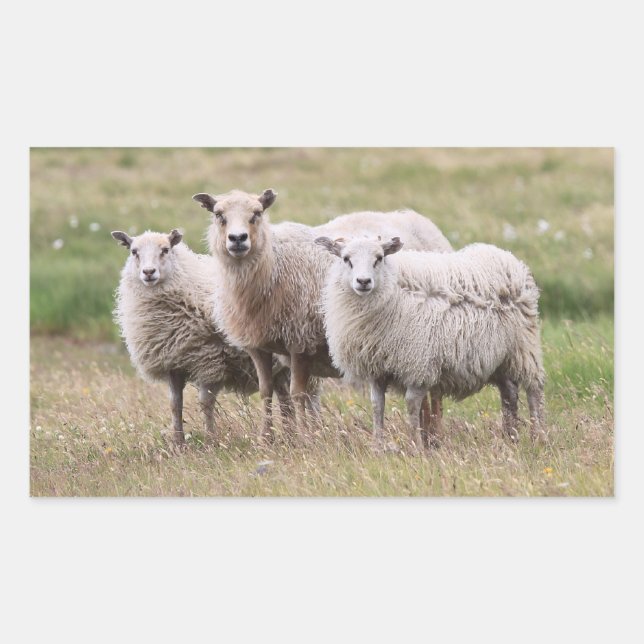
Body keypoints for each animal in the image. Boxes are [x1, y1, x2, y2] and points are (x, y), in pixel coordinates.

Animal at [111, 228, 292, 446]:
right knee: (285, 397)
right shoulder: (173, 363)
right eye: (134, 251)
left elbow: (206, 403)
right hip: (279, 366)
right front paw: (178, 443)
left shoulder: (209, 361)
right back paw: (292, 434)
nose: (148, 272)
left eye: (165, 249)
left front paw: (211, 441)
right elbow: (175, 404)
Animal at [192, 188, 453, 439]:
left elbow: (298, 393)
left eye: (257, 213)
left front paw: (304, 438)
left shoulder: (299, 340)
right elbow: (266, 391)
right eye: (218, 215)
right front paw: (265, 438)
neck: (273, 264)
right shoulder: (258, 345)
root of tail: (419, 220)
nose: (237, 239)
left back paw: (435, 434)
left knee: (435, 390)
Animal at [315, 236, 546, 450]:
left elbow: (411, 404)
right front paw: (378, 447)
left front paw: (416, 446)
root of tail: (507, 257)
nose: (363, 282)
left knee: (534, 389)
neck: (392, 290)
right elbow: (376, 405)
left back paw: (538, 438)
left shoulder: (419, 364)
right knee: (509, 393)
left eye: (379, 258)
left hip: (524, 347)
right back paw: (510, 438)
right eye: (346, 259)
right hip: (500, 357)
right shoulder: (377, 368)